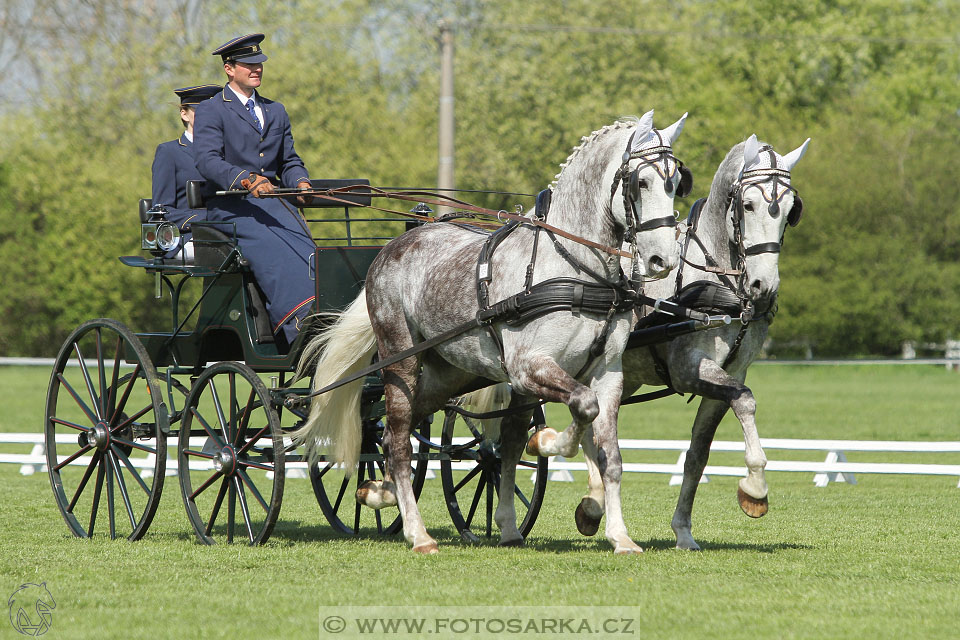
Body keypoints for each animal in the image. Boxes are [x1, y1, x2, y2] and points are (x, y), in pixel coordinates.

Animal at [294, 111, 688, 556]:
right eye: (641, 182)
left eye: (676, 181)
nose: (661, 260)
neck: (576, 269)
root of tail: (393, 246)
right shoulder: (527, 367)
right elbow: (578, 411)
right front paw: (547, 442)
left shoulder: (607, 373)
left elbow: (608, 454)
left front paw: (618, 535)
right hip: (401, 360)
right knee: (396, 438)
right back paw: (418, 533)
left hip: (448, 373)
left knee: (399, 430)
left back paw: (379, 491)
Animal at [576, 135, 808, 552]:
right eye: (748, 205)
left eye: (789, 212)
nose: (764, 288)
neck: (719, 283)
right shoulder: (689, 369)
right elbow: (746, 400)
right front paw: (755, 488)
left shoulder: (729, 375)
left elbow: (698, 455)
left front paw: (683, 530)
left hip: (618, 373)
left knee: (590, 428)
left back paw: (592, 505)